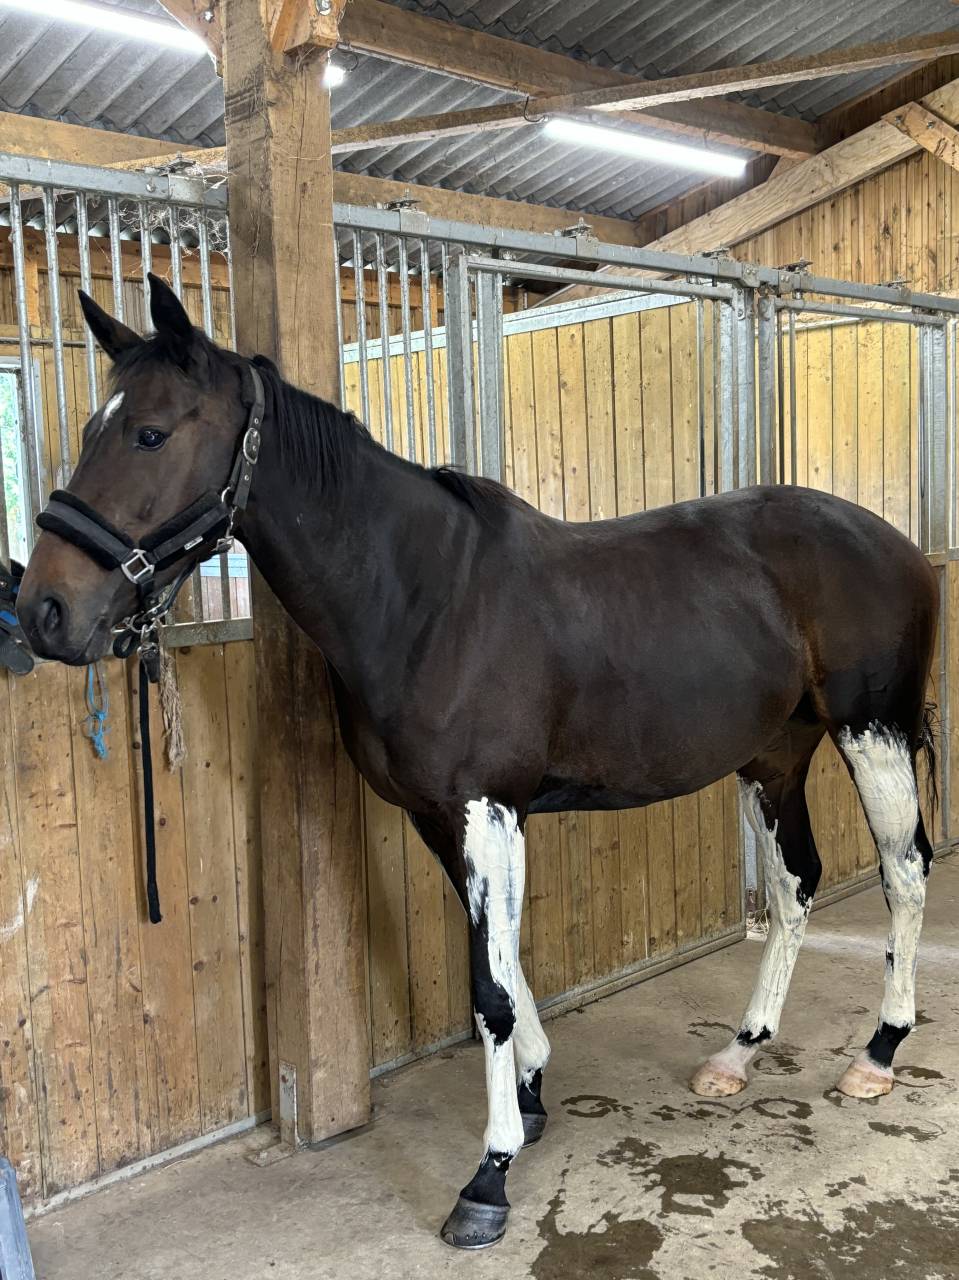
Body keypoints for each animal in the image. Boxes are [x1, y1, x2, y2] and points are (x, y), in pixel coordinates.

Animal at [18, 275, 939, 1250]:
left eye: (151, 433)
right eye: (94, 429)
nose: (42, 611)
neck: (425, 600)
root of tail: (895, 545)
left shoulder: (485, 809)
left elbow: (489, 991)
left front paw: (489, 1176)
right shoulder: (441, 815)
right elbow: (500, 968)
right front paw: (530, 1093)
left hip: (870, 733)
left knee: (904, 873)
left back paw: (878, 1053)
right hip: (774, 753)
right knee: (798, 884)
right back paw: (738, 1051)